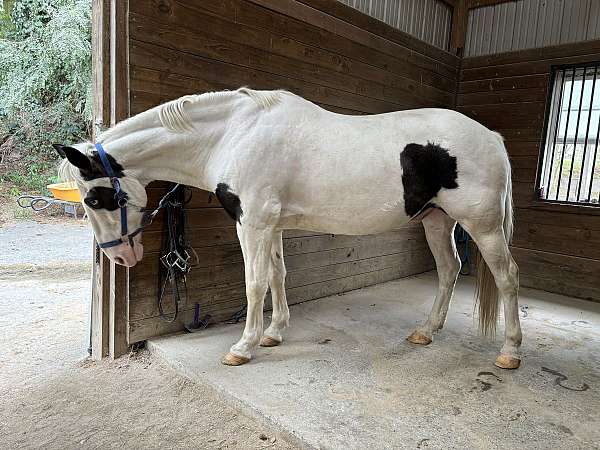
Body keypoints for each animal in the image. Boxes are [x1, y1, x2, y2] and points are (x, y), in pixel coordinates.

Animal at [57, 88, 524, 370]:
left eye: (93, 200)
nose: (119, 255)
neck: (234, 134)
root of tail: (492, 137)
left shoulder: (253, 223)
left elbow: (255, 282)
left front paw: (243, 347)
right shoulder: (273, 225)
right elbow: (279, 276)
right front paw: (274, 334)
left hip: (483, 227)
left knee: (507, 277)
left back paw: (509, 352)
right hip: (436, 220)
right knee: (449, 270)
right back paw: (426, 332)